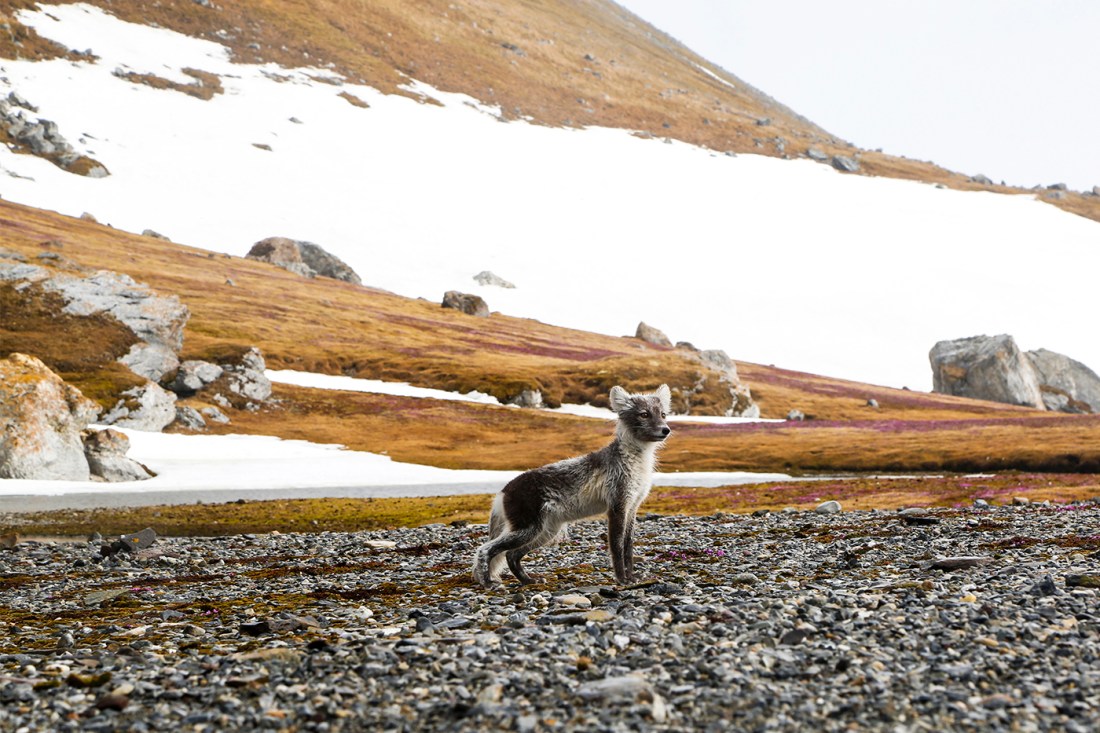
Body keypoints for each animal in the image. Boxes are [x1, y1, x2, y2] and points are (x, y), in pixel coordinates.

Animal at [473, 383, 668, 581]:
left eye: (663, 414)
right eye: (644, 414)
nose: (666, 429)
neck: (637, 461)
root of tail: (503, 491)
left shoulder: (632, 506)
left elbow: (628, 546)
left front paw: (632, 578)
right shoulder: (617, 505)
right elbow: (617, 547)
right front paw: (622, 580)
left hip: (545, 532)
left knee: (511, 555)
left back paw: (528, 581)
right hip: (528, 529)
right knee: (485, 549)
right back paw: (488, 582)